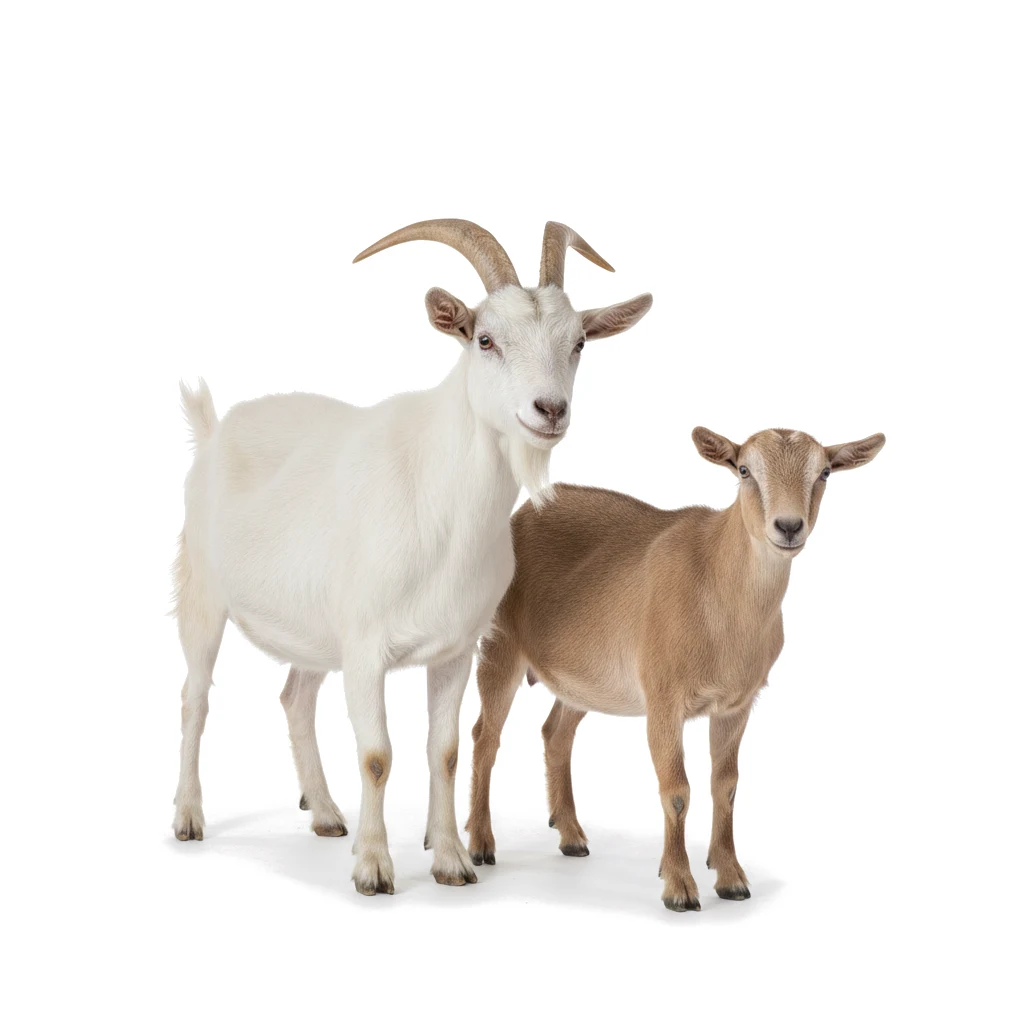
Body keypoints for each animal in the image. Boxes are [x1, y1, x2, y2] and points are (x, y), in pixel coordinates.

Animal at [171, 219, 653, 896]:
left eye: (579, 341)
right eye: (485, 338)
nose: (550, 410)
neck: (442, 501)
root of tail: (214, 431)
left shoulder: (454, 650)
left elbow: (444, 751)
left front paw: (450, 859)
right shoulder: (365, 646)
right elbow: (377, 755)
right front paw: (374, 868)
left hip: (315, 630)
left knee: (296, 698)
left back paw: (325, 814)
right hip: (203, 595)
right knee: (196, 697)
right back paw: (189, 817)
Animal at [466, 426, 885, 911]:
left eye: (824, 472)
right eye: (744, 470)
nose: (788, 526)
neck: (718, 588)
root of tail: (524, 513)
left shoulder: (736, 706)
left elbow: (726, 786)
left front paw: (731, 878)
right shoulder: (664, 699)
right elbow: (677, 791)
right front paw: (680, 886)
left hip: (586, 678)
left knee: (556, 733)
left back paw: (570, 836)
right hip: (500, 645)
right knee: (485, 737)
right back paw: (479, 844)